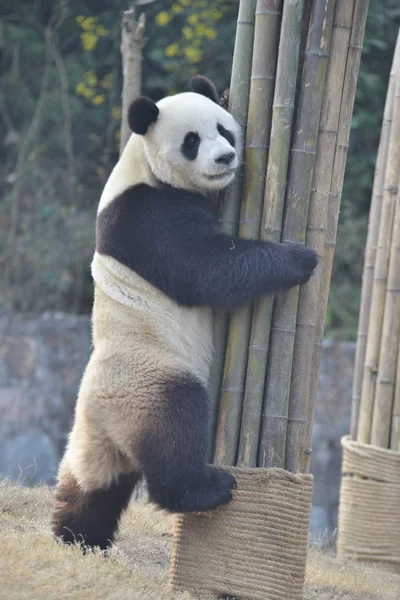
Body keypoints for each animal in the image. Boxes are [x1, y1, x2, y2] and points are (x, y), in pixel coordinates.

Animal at [51, 75, 318, 548]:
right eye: (192, 141)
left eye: (224, 130)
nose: (226, 158)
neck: (143, 165)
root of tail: (104, 418)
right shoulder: (145, 216)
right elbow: (208, 267)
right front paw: (299, 258)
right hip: (147, 379)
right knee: (175, 425)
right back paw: (207, 489)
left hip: (92, 436)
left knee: (91, 484)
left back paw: (77, 536)